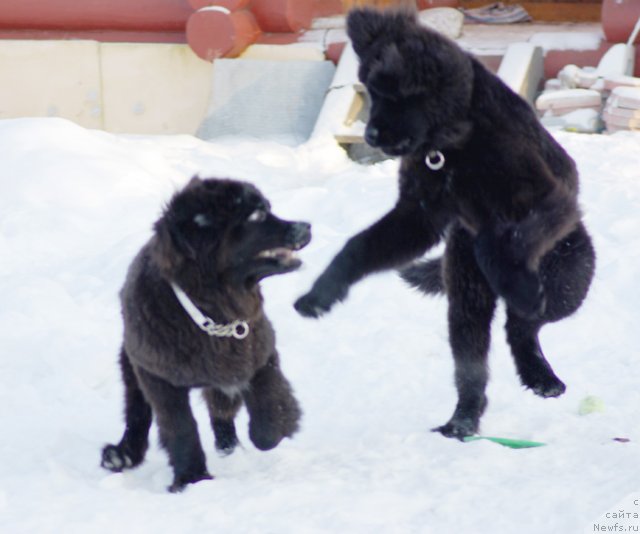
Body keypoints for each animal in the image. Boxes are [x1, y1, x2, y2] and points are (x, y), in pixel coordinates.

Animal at [103, 177, 312, 494]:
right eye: (256, 216)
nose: (307, 226)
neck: (209, 311)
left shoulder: (259, 354)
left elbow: (267, 410)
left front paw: (277, 429)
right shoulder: (157, 376)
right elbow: (180, 427)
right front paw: (191, 478)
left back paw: (228, 447)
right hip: (132, 363)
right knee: (136, 411)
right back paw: (122, 454)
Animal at [296, 10, 596, 442]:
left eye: (395, 97)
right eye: (371, 92)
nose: (369, 134)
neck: (453, 144)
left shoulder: (545, 196)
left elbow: (503, 238)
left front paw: (513, 276)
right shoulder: (416, 216)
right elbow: (357, 247)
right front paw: (322, 293)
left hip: (566, 286)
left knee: (522, 325)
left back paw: (539, 373)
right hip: (466, 301)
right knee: (480, 359)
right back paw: (464, 420)